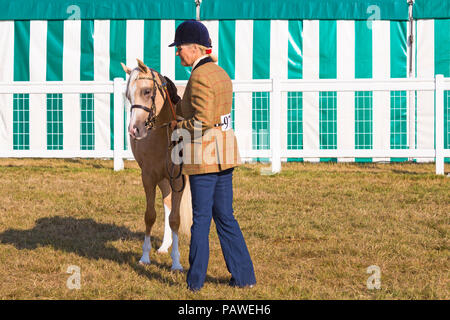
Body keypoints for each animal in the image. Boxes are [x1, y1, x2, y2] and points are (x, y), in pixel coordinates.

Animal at [120, 59, 191, 270]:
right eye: (128, 95)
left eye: (146, 91)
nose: (134, 130)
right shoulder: (149, 177)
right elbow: (150, 215)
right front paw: (145, 256)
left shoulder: (179, 180)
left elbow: (176, 218)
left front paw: (176, 262)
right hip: (163, 180)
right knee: (167, 204)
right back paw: (165, 245)